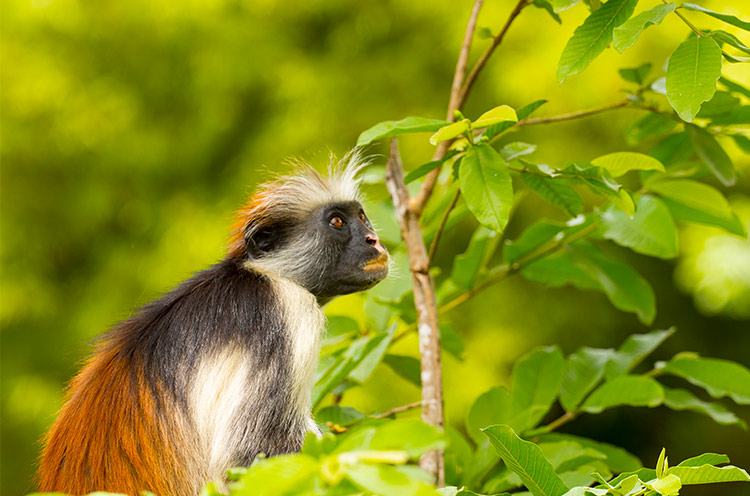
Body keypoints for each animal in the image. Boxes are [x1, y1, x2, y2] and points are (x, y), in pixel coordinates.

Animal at [38, 156, 390, 496]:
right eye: (337, 222)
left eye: (361, 217)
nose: (374, 240)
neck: (265, 272)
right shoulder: (289, 308)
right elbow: (247, 454)